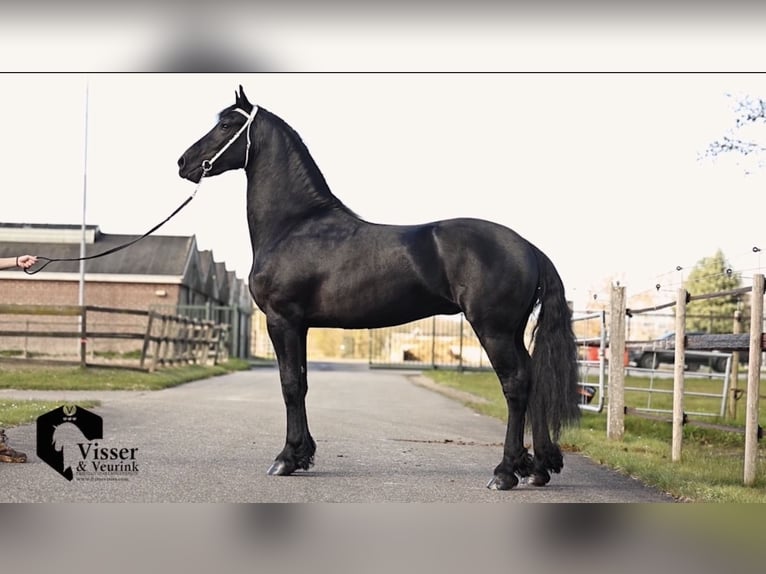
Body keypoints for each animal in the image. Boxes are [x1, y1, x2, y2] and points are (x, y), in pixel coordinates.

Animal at [177, 85, 581, 490]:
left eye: (227, 124)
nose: (184, 163)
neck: (295, 225)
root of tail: (527, 247)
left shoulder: (282, 320)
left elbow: (290, 384)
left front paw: (286, 458)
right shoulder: (300, 325)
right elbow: (303, 382)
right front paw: (303, 454)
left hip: (493, 330)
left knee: (515, 384)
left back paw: (505, 471)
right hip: (511, 331)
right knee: (533, 378)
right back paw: (538, 468)